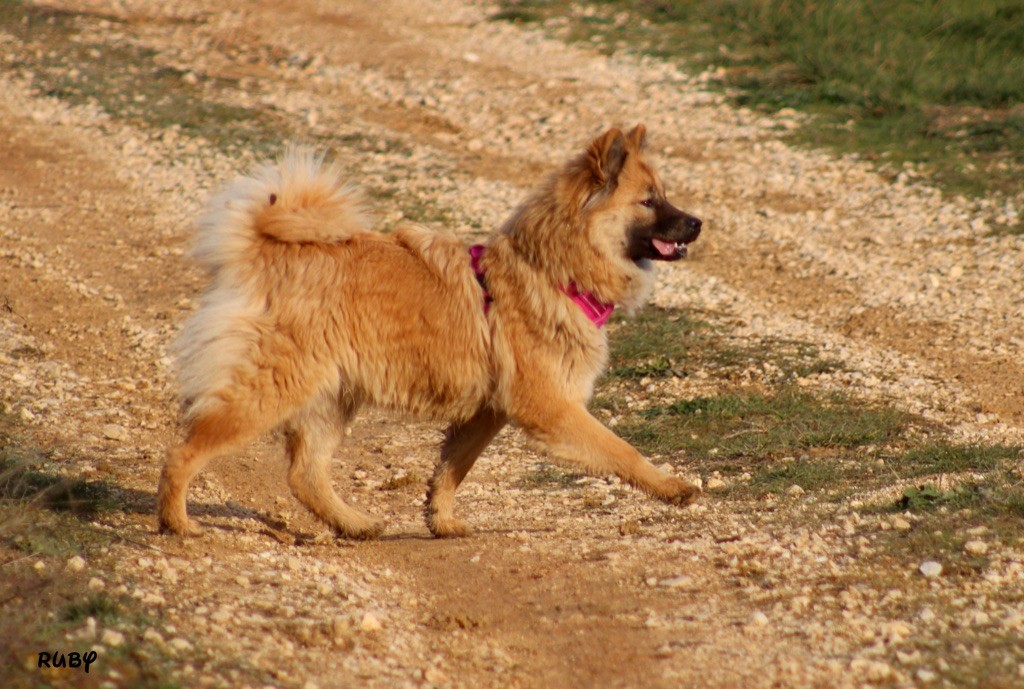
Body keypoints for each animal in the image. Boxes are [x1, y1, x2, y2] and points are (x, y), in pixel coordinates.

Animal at [157, 124, 704, 536]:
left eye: (664, 196)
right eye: (649, 201)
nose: (697, 222)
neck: (552, 268)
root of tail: (266, 251)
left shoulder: (486, 413)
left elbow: (452, 469)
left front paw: (440, 521)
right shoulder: (552, 407)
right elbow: (622, 450)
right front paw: (671, 487)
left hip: (331, 397)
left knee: (304, 474)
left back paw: (354, 524)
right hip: (271, 390)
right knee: (184, 451)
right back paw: (177, 522)